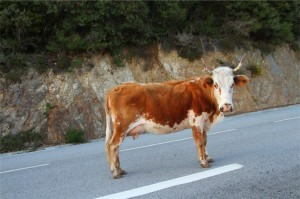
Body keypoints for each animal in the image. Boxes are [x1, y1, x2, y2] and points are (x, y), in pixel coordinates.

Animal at [104, 54, 250, 179]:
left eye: (232, 84)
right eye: (215, 84)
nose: (226, 106)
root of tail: (115, 89)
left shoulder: (204, 122)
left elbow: (205, 140)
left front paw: (208, 157)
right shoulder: (196, 121)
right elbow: (199, 141)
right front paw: (203, 162)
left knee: (114, 146)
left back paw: (120, 170)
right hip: (122, 126)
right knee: (113, 145)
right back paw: (116, 172)